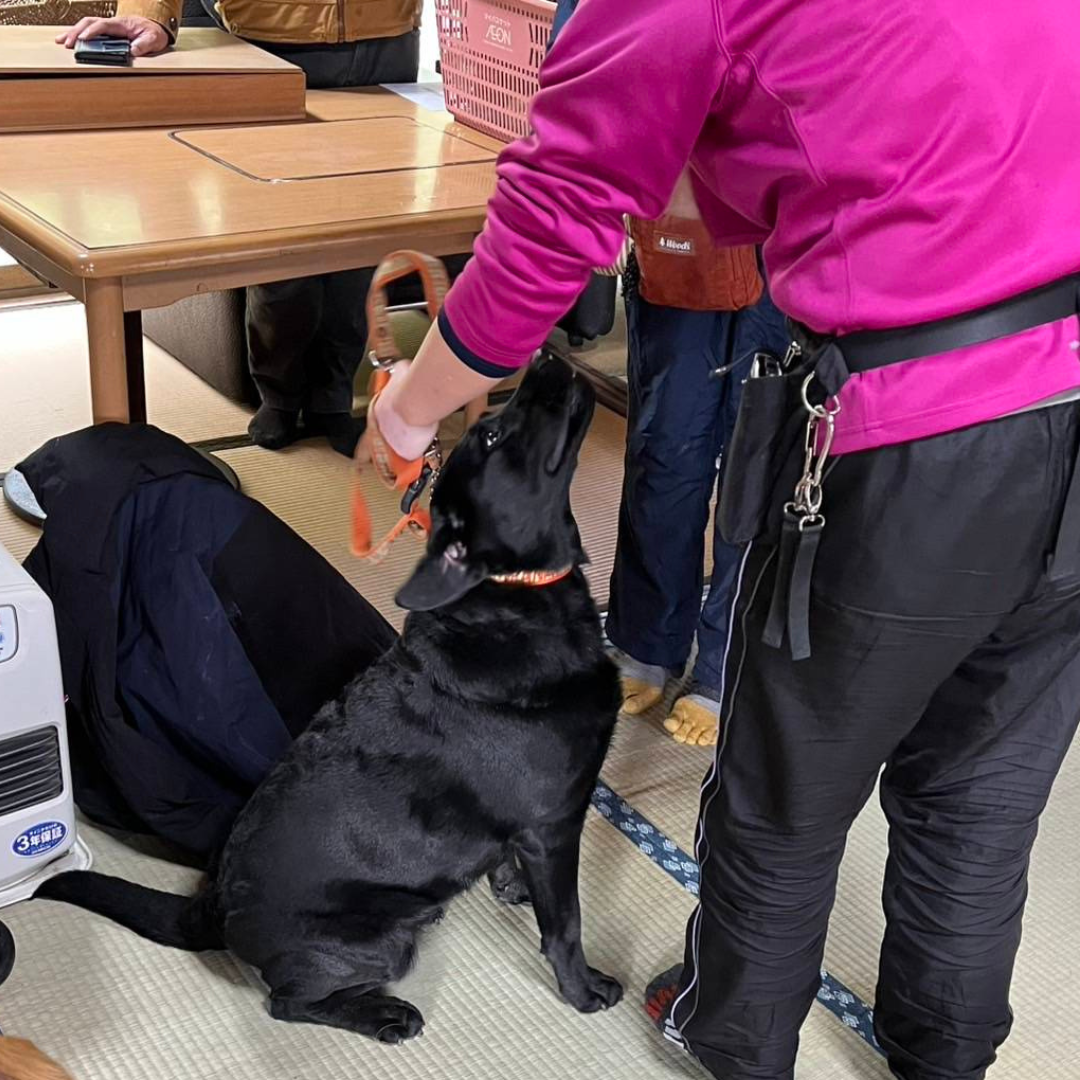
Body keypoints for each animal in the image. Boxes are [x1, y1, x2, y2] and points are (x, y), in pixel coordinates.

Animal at [37, 354, 623, 1043]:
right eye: (492, 436)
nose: (546, 358)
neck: (515, 600)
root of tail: (211, 906)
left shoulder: (533, 827)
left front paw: (511, 887)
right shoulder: (555, 823)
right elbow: (566, 925)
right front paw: (584, 991)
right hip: (379, 940)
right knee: (287, 1003)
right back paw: (386, 1015)